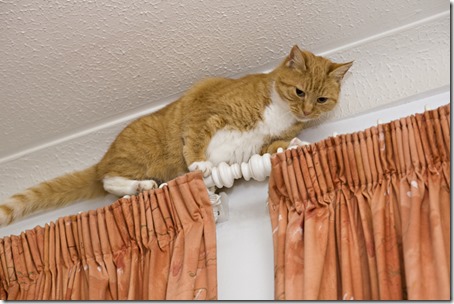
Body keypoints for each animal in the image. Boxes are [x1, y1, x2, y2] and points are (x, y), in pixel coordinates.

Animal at [0, 45, 352, 226]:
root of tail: (103, 158)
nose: (307, 111)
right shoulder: (204, 109)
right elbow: (195, 138)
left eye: (322, 99)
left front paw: (294, 144)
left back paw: (141, 188)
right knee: (107, 179)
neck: (279, 113)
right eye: (299, 91)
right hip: (137, 155)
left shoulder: (261, 144)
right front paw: (198, 165)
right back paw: (138, 184)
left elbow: (273, 147)